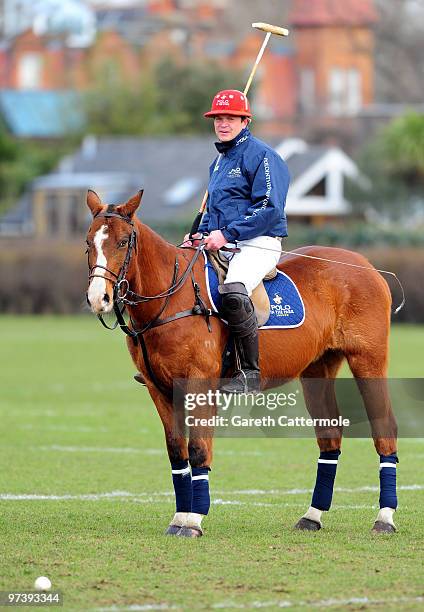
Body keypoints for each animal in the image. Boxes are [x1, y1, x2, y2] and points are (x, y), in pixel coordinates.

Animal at [85, 190, 398, 536]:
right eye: (88, 243)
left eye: (123, 242)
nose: (99, 298)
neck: (172, 298)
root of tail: (368, 266)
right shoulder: (159, 388)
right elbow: (176, 451)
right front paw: (178, 518)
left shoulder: (200, 383)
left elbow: (199, 449)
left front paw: (193, 521)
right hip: (318, 368)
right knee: (329, 434)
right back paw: (312, 516)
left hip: (368, 359)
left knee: (385, 428)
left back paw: (384, 518)